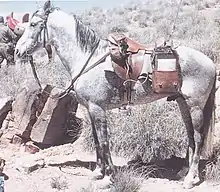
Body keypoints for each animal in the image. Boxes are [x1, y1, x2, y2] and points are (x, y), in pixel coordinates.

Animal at [15, 0, 217, 189]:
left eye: (33, 24)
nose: (17, 51)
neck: (87, 58)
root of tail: (210, 62)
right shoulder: (90, 110)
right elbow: (97, 140)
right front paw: (98, 172)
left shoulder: (98, 109)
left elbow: (104, 142)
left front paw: (108, 177)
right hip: (183, 103)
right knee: (190, 135)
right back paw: (183, 172)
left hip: (195, 106)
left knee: (198, 137)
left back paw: (190, 178)